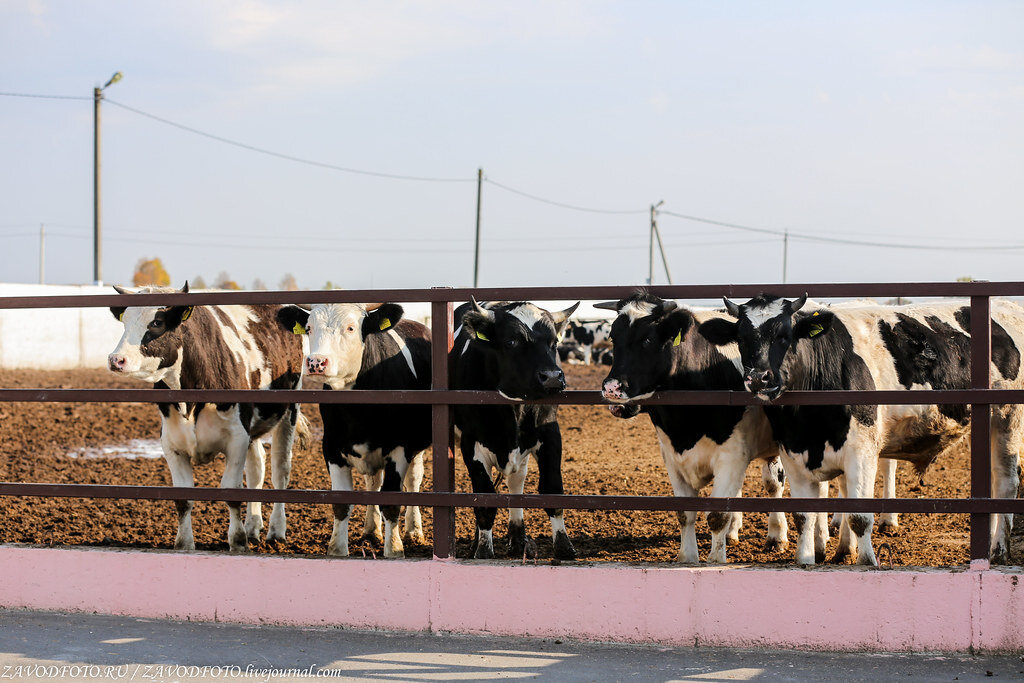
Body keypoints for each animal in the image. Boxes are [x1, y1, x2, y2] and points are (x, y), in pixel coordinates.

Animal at [109, 282, 307, 557]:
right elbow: (183, 499)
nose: (116, 360)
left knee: (280, 471)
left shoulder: (237, 439)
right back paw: (253, 527)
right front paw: (184, 543)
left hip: (289, 412)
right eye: (125, 320)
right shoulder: (172, 443)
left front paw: (237, 541)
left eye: (157, 322)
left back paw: (275, 532)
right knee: (257, 467)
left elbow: (232, 491)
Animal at [276, 301, 432, 557]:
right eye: (309, 328)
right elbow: (341, 502)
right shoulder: (331, 448)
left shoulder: (399, 448)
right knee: (373, 482)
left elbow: (391, 501)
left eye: (350, 328)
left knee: (413, 480)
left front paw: (394, 549)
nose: (316, 362)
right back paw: (371, 532)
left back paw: (413, 531)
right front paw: (337, 549)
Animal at [452, 299, 581, 561]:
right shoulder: (471, 445)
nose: (552, 377)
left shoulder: (550, 435)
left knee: (516, 482)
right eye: (511, 341)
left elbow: (552, 489)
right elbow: (484, 499)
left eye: (553, 343)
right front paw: (483, 549)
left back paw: (518, 539)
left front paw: (564, 547)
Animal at [598, 290, 786, 565]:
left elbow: (718, 515)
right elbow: (685, 513)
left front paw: (716, 561)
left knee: (777, 483)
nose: (611, 388)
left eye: (647, 339)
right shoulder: (672, 457)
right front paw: (687, 558)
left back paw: (780, 536)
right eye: (613, 336)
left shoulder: (731, 456)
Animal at [704, 294, 1024, 565]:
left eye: (784, 336)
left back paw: (999, 550)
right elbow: (804, 516)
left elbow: (859, 515)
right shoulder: (794, 453)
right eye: (741, 339)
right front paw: (806, 560)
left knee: (1006, 483)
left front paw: (867, 561)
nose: (758, 378)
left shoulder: (862, 451)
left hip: (1008, 419)